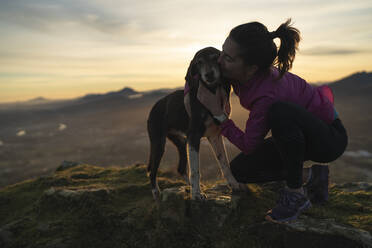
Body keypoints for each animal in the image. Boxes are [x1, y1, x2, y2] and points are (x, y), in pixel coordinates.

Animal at [146, 47, 247, 202]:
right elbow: (195, 170)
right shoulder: (194, 136)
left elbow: (224, 164)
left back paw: (188, 185)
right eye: (199, 62)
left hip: (181, 141)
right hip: (159, 143)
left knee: (181, 167)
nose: (209, 74)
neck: (212, 91)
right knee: (152, 171)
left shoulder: (215, 136)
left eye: (215, 57)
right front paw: (197, 194)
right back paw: (156, 193)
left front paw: (234, 184)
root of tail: (154, 107)